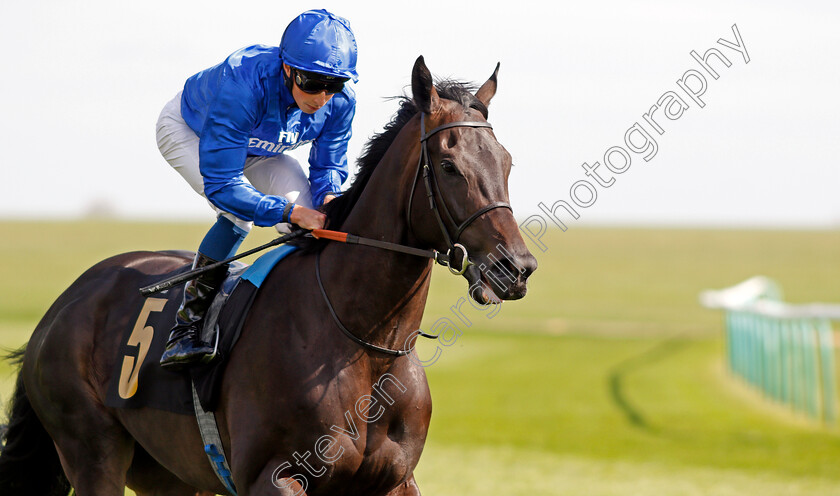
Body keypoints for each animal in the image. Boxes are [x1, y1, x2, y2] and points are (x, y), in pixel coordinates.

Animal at [0, 57, 540, 496]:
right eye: (448, 166)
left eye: (508, 162)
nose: (516, 268)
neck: (366, 344)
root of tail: (66, 302)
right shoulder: (275, 477)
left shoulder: (396, 481)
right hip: (92, 451)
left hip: (169, 475)